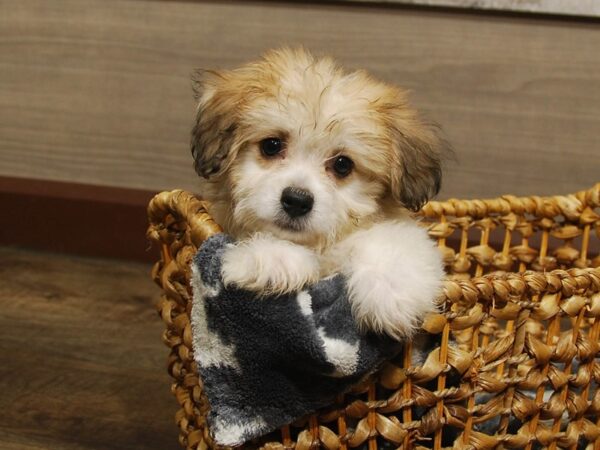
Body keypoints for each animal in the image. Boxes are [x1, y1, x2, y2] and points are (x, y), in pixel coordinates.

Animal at [191, 47, 446, 340]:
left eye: (343, 164)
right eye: (271, 145)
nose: (296, 200)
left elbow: (397, 242)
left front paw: (390, 294)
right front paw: (271, 258)